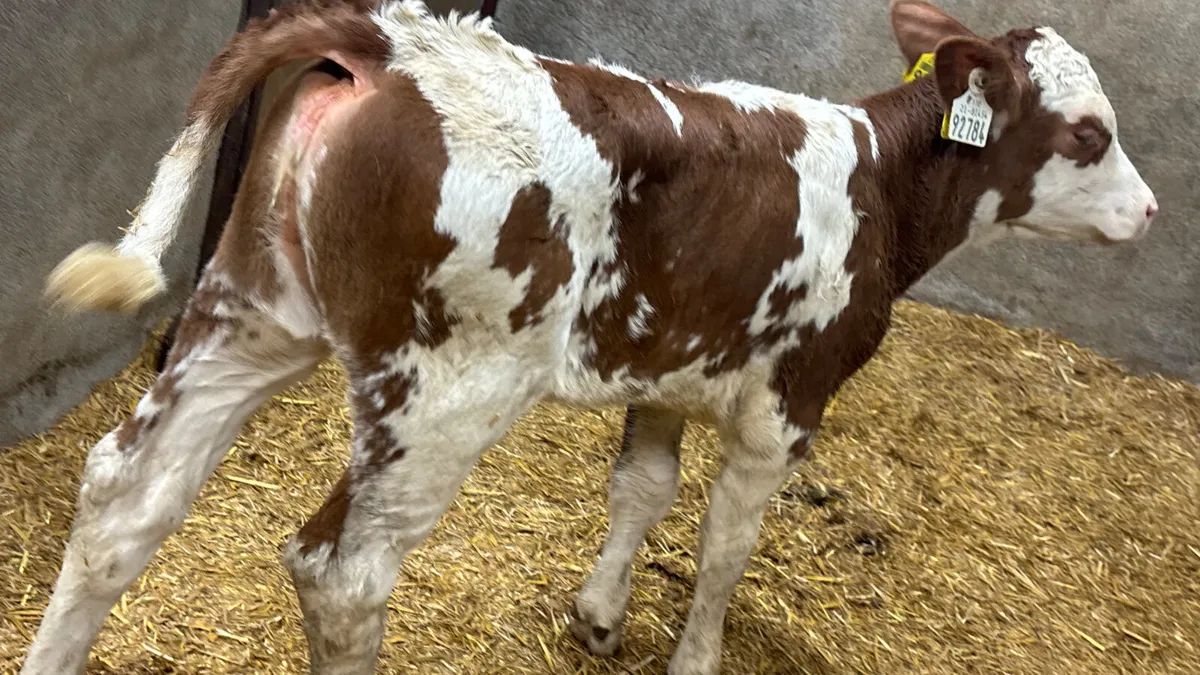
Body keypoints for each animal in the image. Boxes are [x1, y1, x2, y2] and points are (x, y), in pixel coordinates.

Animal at [28, 1, 1157, 673]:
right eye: (1089, 133)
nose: (1148, 212)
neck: (877, 179)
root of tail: (388, 39)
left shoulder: (675, 365)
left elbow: (642, 490)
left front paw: (602, 614)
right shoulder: (788, 400)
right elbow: (724, 542)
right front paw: (694, 656)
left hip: (248, 313)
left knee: (123, 497)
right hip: (444, 391)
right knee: (341, 573)